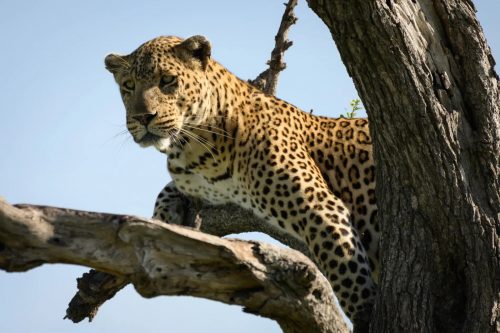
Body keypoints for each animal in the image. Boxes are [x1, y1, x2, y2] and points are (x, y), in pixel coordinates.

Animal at [104, 35, 378, 324]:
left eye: (167, 80)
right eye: (128, 85)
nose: (142, 117)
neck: (194, 146)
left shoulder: (322, 207)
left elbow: (347, 272)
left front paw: (365, 314)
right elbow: (167, 190)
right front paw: (163, 221)